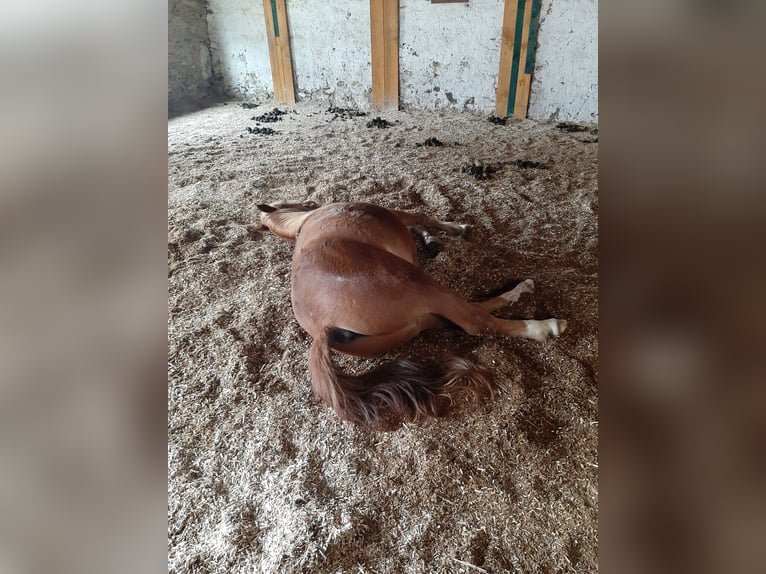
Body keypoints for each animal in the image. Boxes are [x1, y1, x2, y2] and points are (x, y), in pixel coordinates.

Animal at [260, 200, 568, 430]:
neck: (307, 219)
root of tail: (324, 329)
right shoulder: (399, 215)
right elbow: (422, 215)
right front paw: (456, 227)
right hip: (419, 284)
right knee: (474, 320)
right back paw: (543, 321)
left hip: (423, 316)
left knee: (468, 316)